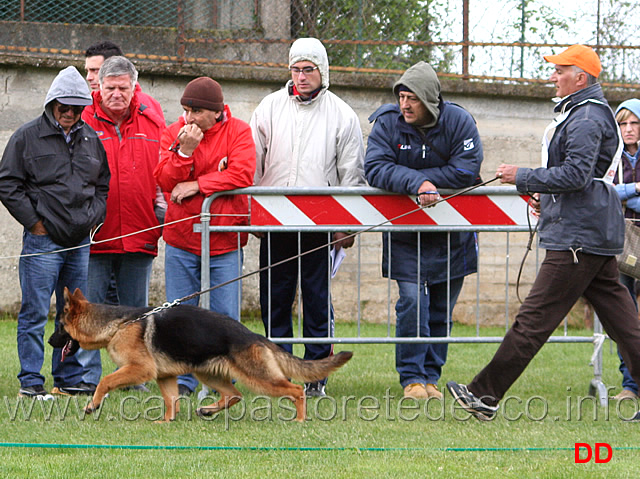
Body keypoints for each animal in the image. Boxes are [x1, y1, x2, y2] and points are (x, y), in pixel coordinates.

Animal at [48, 286, 352, 422]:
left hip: (260, 378)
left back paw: (300, 419)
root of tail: (254, 336)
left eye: (59, 327)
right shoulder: (165, 377)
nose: (50, 341)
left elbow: (105, 381)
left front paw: (92, 405)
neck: (117, 324)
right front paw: (167, 422)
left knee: (295, 390)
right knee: (234, 395)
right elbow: (171, 401)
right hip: (208, 373)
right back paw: (208, 409)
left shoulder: (140, 369)